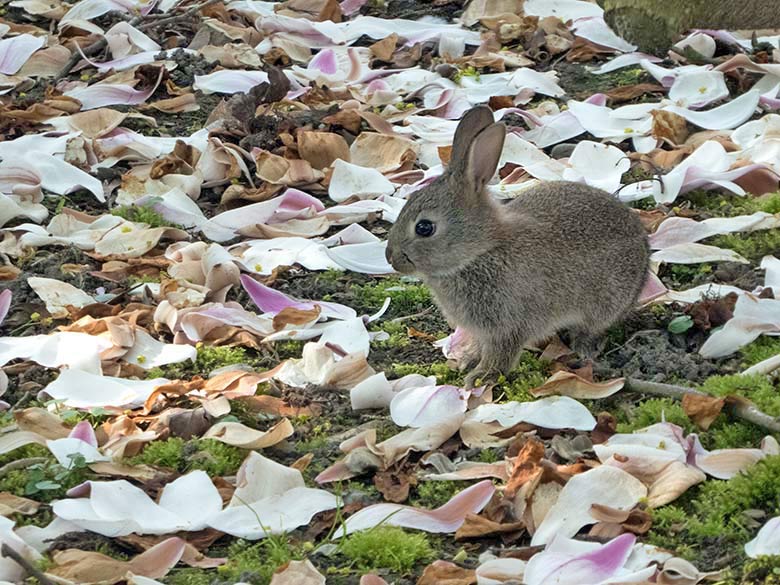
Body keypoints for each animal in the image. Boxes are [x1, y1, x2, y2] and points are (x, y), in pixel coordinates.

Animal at [386, 105, 652, 388]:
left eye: (424, 228)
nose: (390, 258)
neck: (480, 251)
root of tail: (644, 251)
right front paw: (468, 360)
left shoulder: (509, 325)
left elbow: (502, 354)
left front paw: (482, 377)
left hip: (606, 302)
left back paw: (584, 346)